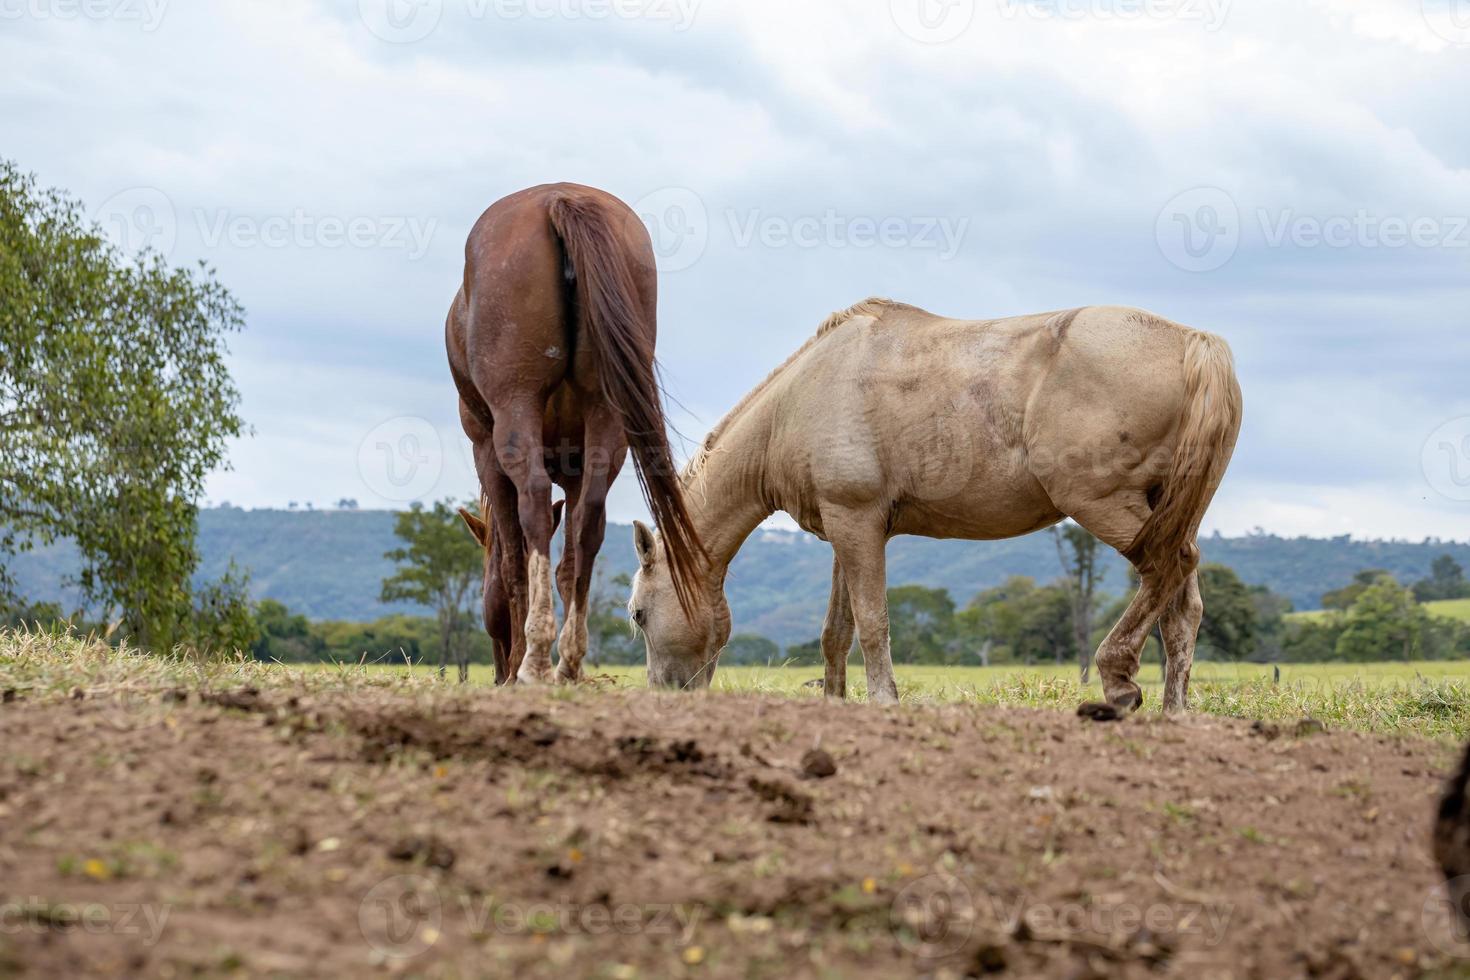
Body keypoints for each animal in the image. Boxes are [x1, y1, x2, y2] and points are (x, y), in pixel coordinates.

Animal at [443, 185, 702, 690]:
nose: (497, 669)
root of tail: (561, 197)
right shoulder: (579, 465)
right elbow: (567, 562)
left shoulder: (486, 451)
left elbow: (514, 560)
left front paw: (519, 663)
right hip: (608, 420)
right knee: (589, 525)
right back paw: (568, 662)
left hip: (516, 409)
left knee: (534, 505)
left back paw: (535, 661)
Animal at [629, 299, 1240, 714]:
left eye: (637, 614)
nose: (661, 695)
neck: (799, 399)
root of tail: (1194, 341)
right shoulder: (845, 527)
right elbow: (836, 632)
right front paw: (834, 702)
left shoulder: (857, 524)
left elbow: (872, 622)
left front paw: (883, 700)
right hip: (1168, 511)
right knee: (1183, 605)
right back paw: (1174, 708)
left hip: (1105, 505)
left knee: (1167, 569)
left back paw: (1117, 679)